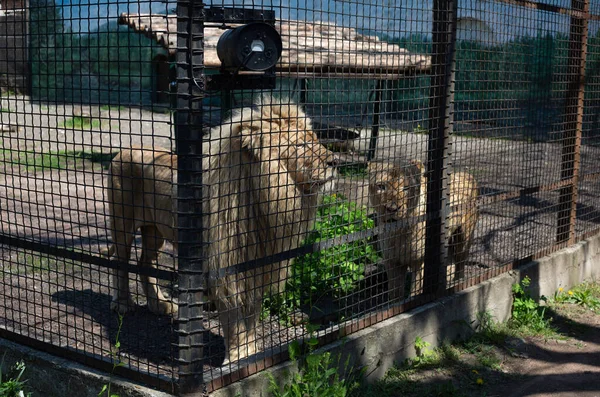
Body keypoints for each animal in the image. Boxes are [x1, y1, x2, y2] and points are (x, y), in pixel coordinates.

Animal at [103, 94, 338, 364]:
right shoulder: (225, 268)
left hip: (156, 232)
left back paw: (159, 304)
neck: (265, 198)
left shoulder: (257, 265)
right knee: (121, 260)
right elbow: (234, 319)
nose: (335, 162)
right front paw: (235, 357)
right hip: (123, 223)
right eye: (300, 145)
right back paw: (122, 303)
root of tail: (124, 149)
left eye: (316, 140)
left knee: (145, 262)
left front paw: (250, 354)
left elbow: (252, 316)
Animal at [366, 158, 478, 300]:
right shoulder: (392, 262)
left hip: (464, 237)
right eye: (381, 186)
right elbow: (395, 293)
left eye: (406, 188)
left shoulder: (421, 262)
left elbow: (416, 292)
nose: (392, 209)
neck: (399, 232)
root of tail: (468, 174)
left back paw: (457, 284)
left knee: (460, 262)